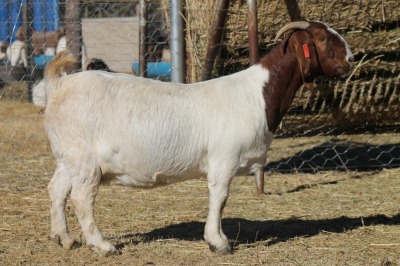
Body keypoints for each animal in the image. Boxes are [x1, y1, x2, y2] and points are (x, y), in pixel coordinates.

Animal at [43, 21, 354, 256]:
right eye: (322, 38)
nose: (350, 60)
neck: (258, 95)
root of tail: (59, 84)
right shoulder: (224, 158)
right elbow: (220, 197)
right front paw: (218, 242)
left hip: (67, 157)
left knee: (57, 189)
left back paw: (65, 239)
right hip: (83, 158)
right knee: (82, 197)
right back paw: (103, 246)